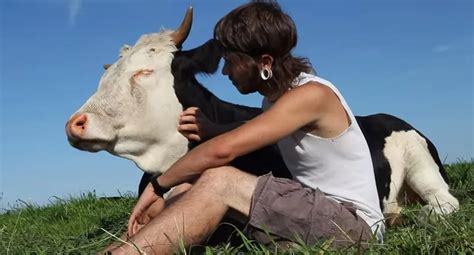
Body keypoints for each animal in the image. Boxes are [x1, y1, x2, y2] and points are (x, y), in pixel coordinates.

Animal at [65, 7, 458, 229]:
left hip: (422, 165)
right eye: (106, 75)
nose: (74, 123)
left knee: (445, 203)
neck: (167, 162)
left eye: (144, 71)